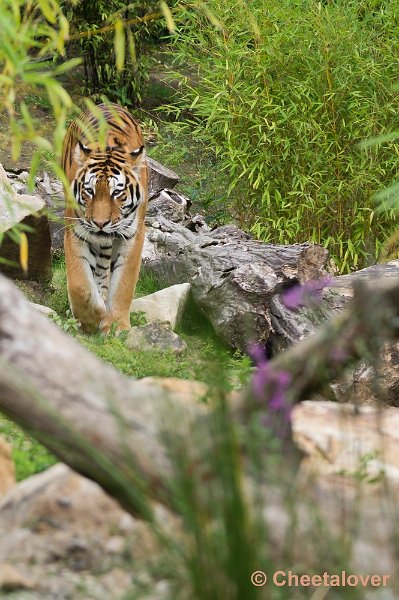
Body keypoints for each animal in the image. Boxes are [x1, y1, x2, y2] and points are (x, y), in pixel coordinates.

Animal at [61, 105, 149, 336]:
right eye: (89, 191)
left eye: (117, 192)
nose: (100, 224)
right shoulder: (76, 232)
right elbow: (80, 284)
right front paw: (91, 319)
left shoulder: (133, 236)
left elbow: (123, 285)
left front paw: (118, 326)